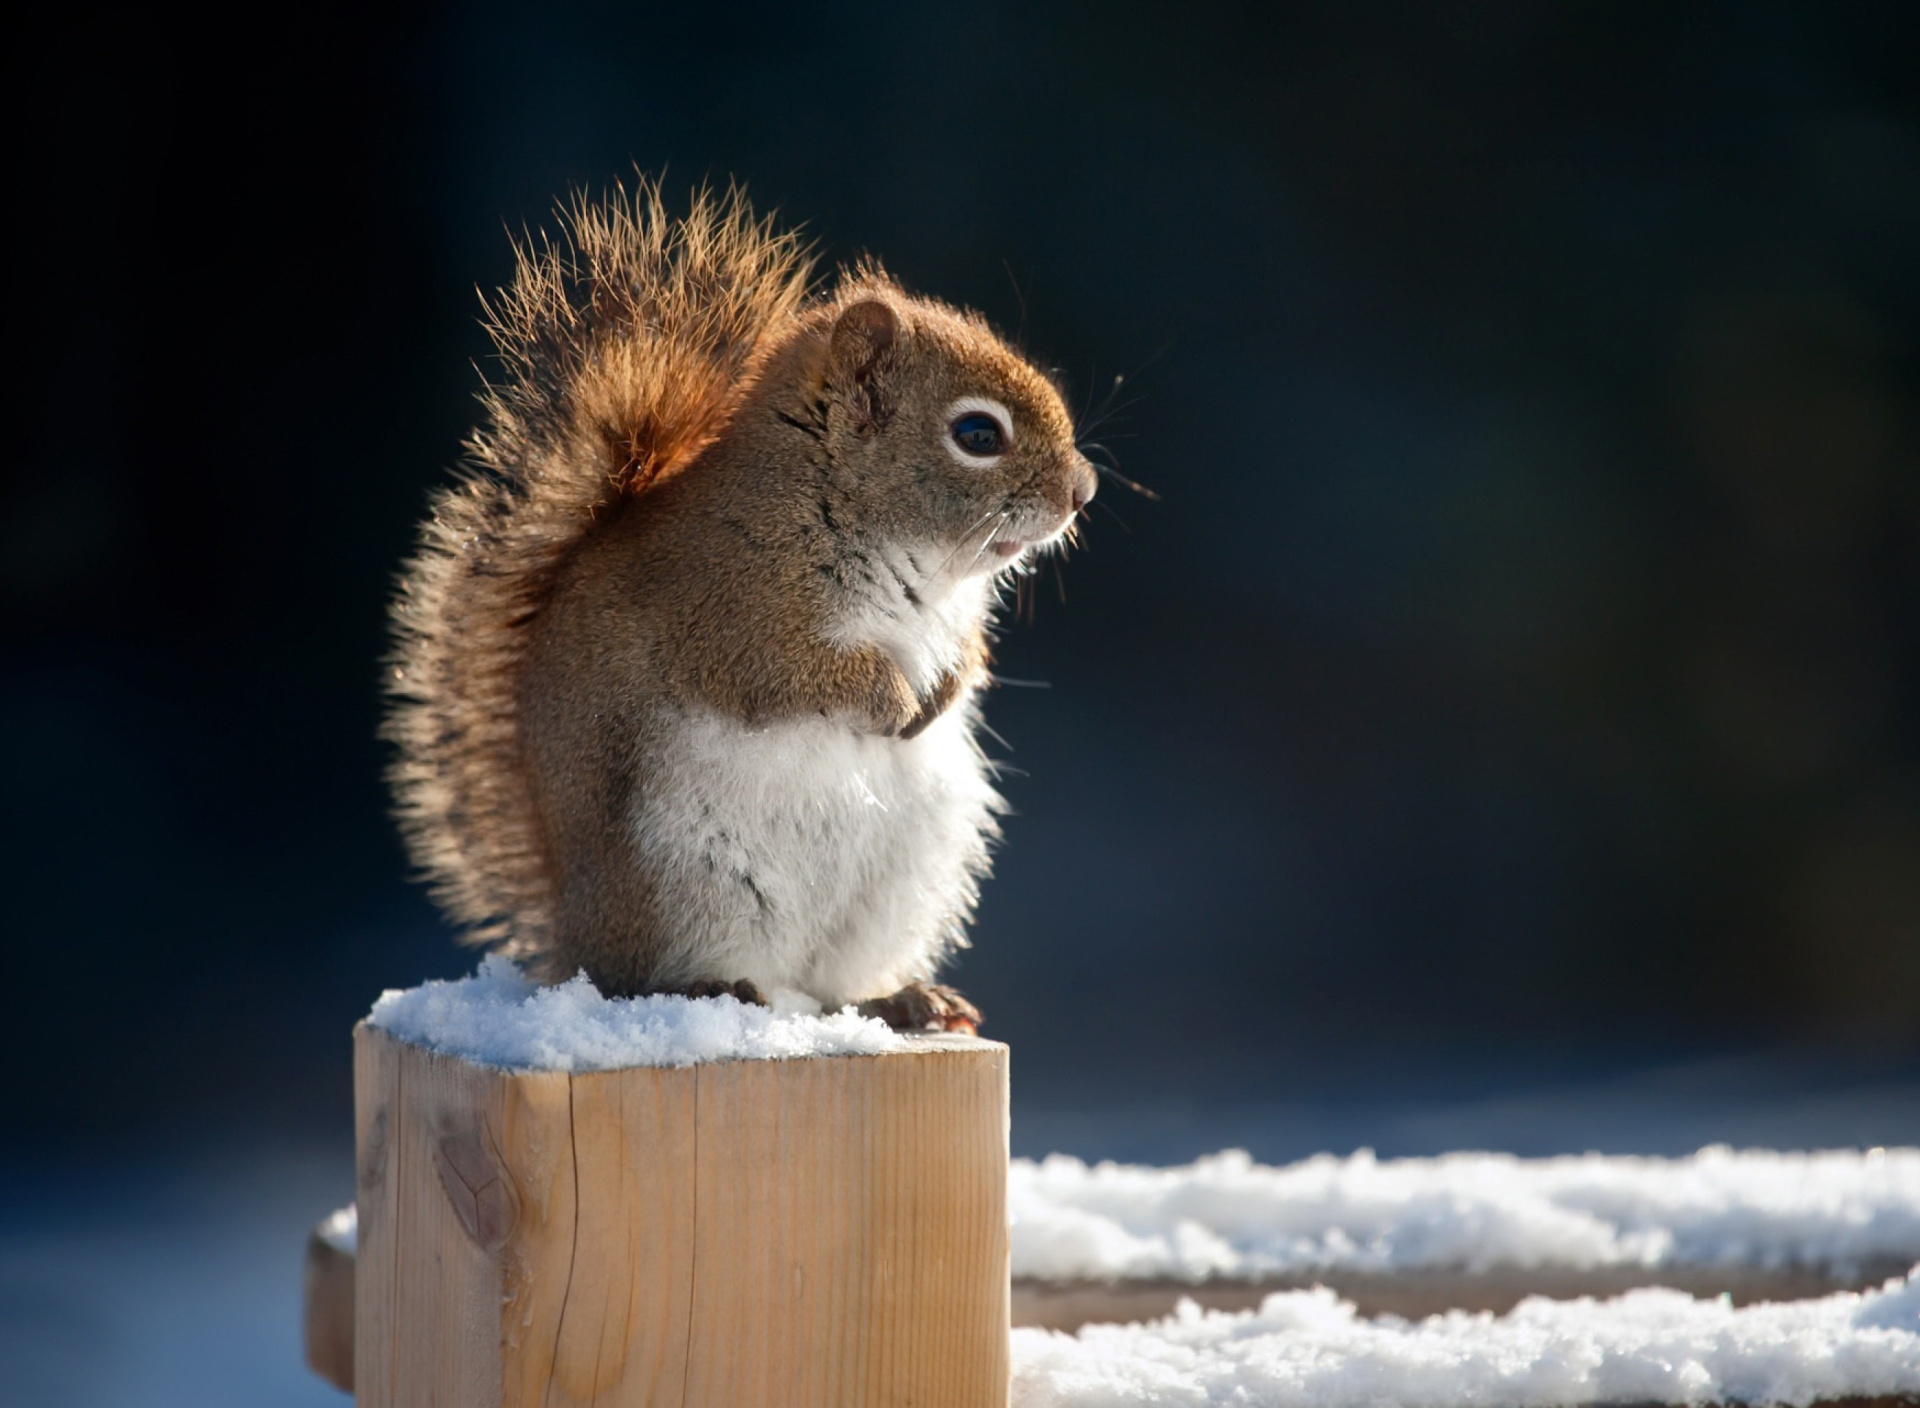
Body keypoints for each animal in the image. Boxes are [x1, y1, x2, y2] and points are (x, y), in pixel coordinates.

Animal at [385, 181, 1098, 1029]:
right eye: (979, 433)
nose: (1084, 491)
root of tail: (570, 941)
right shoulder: (727, 611)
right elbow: (789, 676)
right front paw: (892, 700)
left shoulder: (952, 622)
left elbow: (967, 659)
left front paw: (941, 696)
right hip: (677, 885)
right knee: (644, 979)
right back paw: (713, 990)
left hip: (898, 889)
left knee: (834, 990)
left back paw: (905, 999)